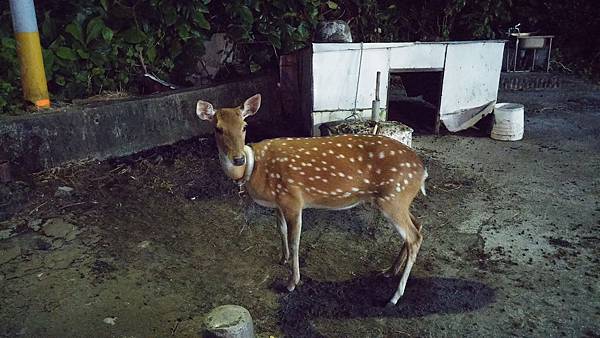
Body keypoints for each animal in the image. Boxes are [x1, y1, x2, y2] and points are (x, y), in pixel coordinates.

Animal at [199, 93, 428, 304]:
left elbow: (295, 241)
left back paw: (394, 296)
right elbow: (280, 229)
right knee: (418, 225)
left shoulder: (292, 199)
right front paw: (283, 259)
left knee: (414, 237)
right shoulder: (279, 202)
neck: (254, 168)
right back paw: (389, 270)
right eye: (217, 128)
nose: (238, 158)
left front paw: (292, 282)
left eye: (245, 126)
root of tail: (422, 171)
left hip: (393, 197)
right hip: (398, 199)